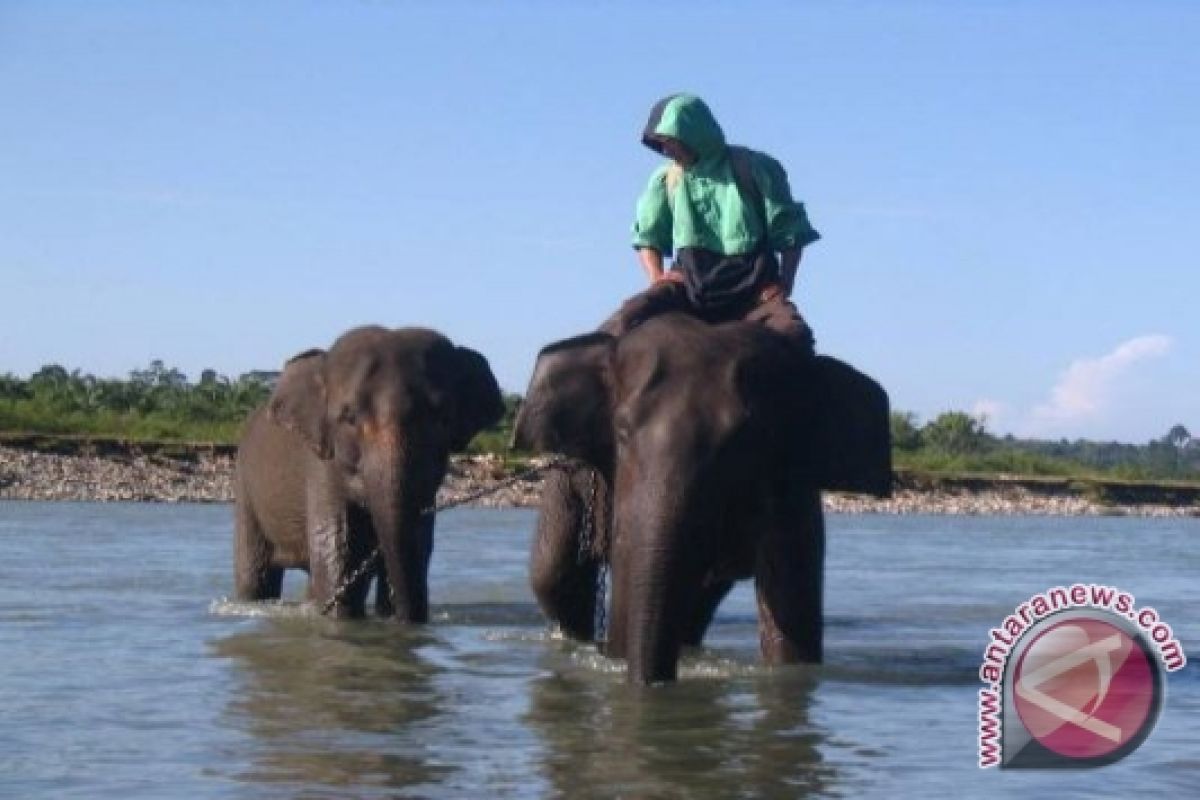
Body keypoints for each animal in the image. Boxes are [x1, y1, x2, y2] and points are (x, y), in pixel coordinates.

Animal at [234, 323, 501, 618]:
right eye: (349, 419)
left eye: (442, 419)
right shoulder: (323, 467)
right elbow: (341, 554)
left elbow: (417, 543)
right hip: (245, 485)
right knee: (255, 575)